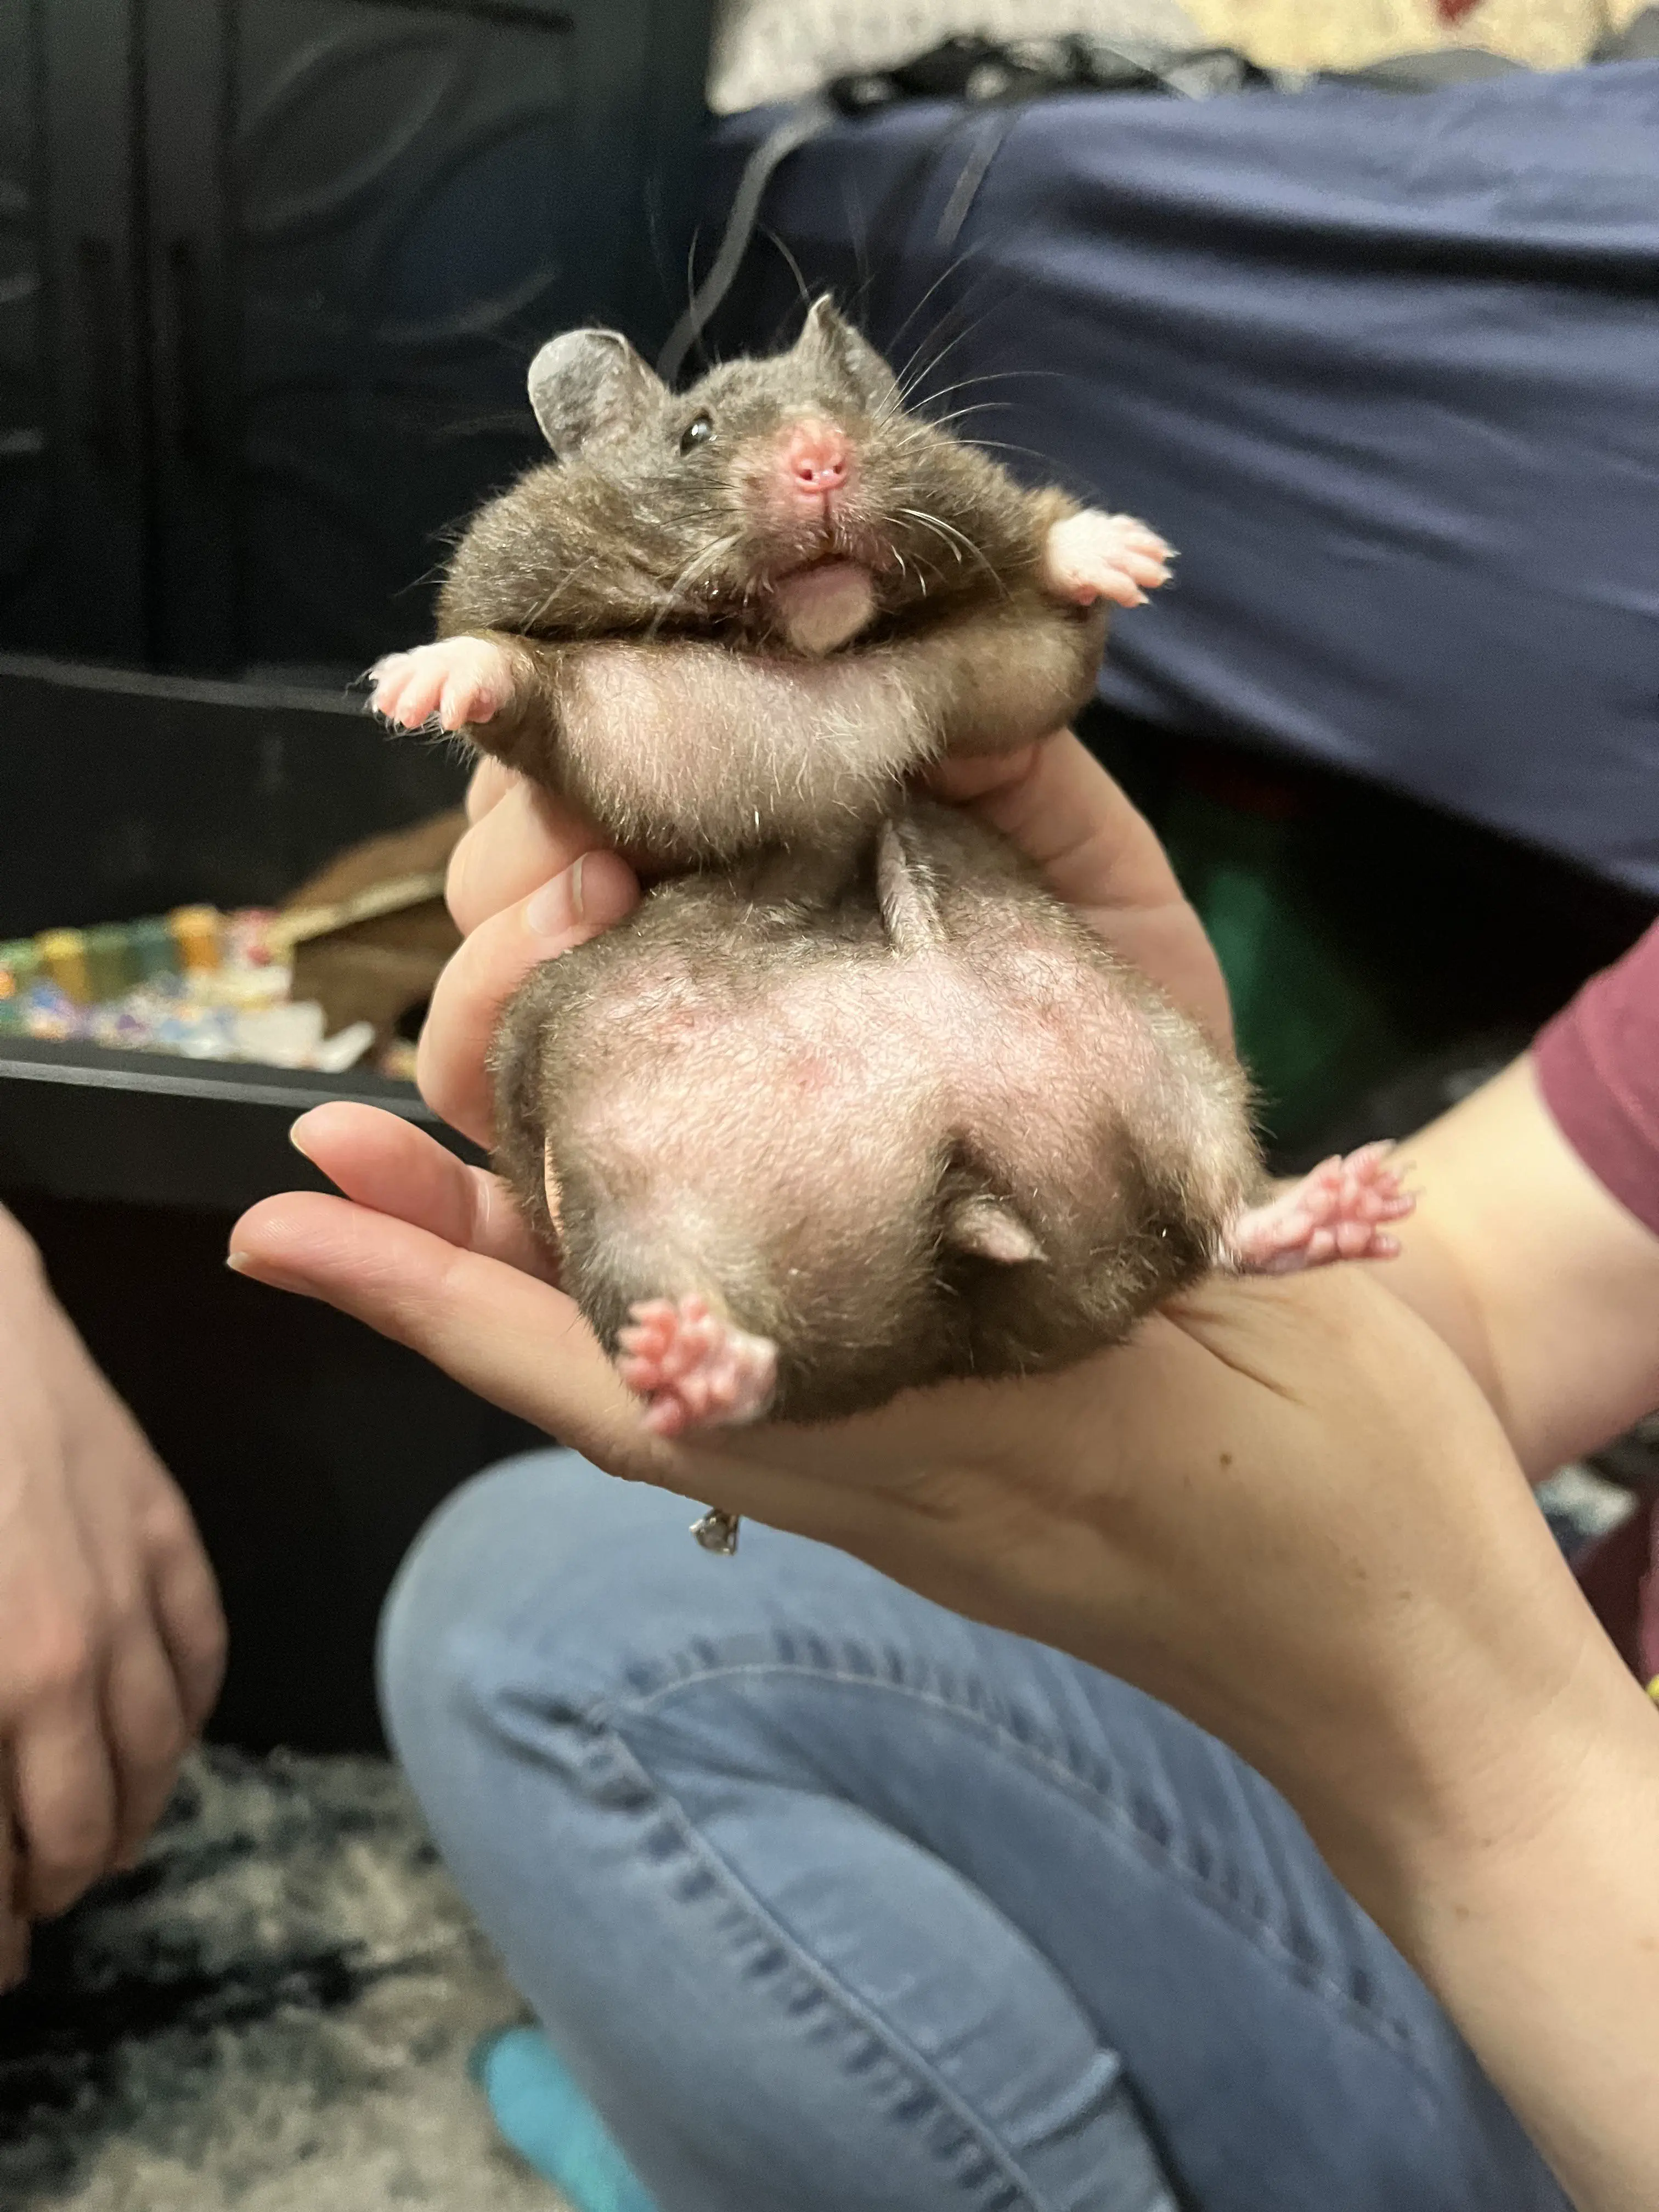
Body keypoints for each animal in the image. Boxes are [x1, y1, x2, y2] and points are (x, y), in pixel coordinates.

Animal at [371, 300, 1411, 1447]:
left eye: (855, 410)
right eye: (694, 434)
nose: (823, 460)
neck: (821, 645)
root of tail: (950, 1234)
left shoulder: (991, 680)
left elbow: (1048, 626)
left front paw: (1129, 550)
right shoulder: (622, 731)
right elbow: (525, 677)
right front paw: (410, 687)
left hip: (1169, 1067)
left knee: (1223, 1207)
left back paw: (1344, 1206)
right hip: (626, 1207)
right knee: (736, 1351)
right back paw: (690, 1360)